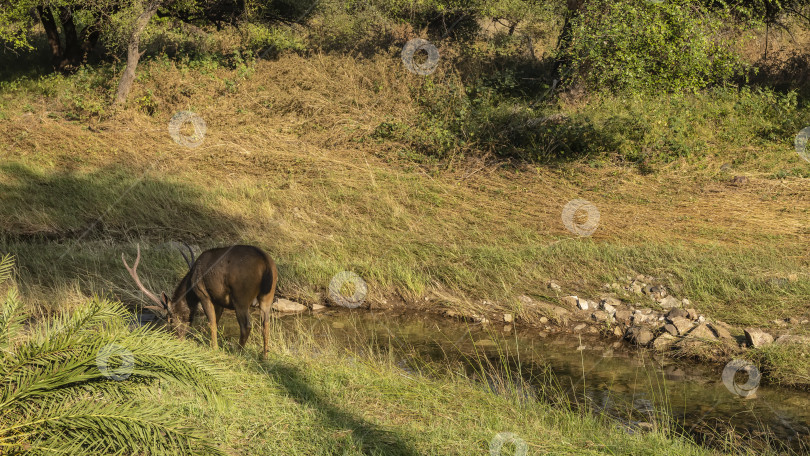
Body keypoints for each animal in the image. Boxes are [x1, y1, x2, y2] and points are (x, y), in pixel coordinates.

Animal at [122, 244, 278, 358]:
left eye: (170, 320)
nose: (176, 338)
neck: (191, 287)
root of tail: (266, 265)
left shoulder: (203, 294)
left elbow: (212, 321)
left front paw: (214, 348)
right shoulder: (219, 299)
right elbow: (217, 319)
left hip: (241, 296)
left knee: (246, 325)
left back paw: (238, 352)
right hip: (268, 296)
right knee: (266, 323)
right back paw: (265, 356)